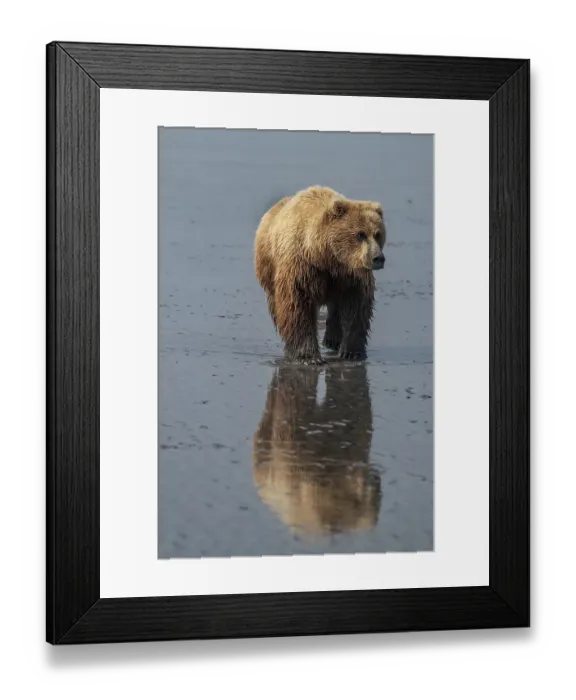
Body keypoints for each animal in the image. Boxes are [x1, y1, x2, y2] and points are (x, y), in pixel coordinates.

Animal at [254, 185, 387, 364]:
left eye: (378, 234)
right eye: (360, 234)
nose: (378, 258)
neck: (325, 256)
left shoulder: (349, 275)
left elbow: (357, 306)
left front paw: (351, 352)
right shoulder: (302, 267)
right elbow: (297, 307)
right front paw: (309, 356)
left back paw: (332, 339)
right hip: (268, 270)